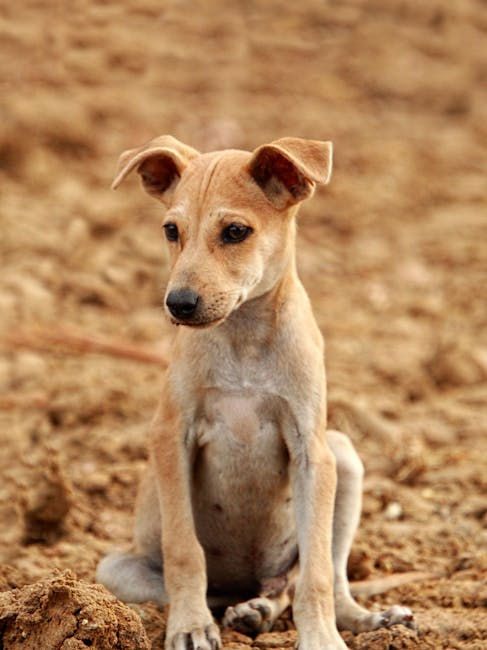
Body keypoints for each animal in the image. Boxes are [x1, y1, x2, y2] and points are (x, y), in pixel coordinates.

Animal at [96, 134, 416, 644]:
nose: (178, 304)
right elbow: (185, 551)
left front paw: (321, 639)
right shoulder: (172, 437)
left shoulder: (312, 453)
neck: (243, 338)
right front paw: (189, 627)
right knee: (223, 589)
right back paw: (249, 610)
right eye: (171, 230)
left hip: (344, 456)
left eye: (235, 232)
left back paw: (345, 617)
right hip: (116, 569)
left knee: (319, 577)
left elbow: (317, 573)